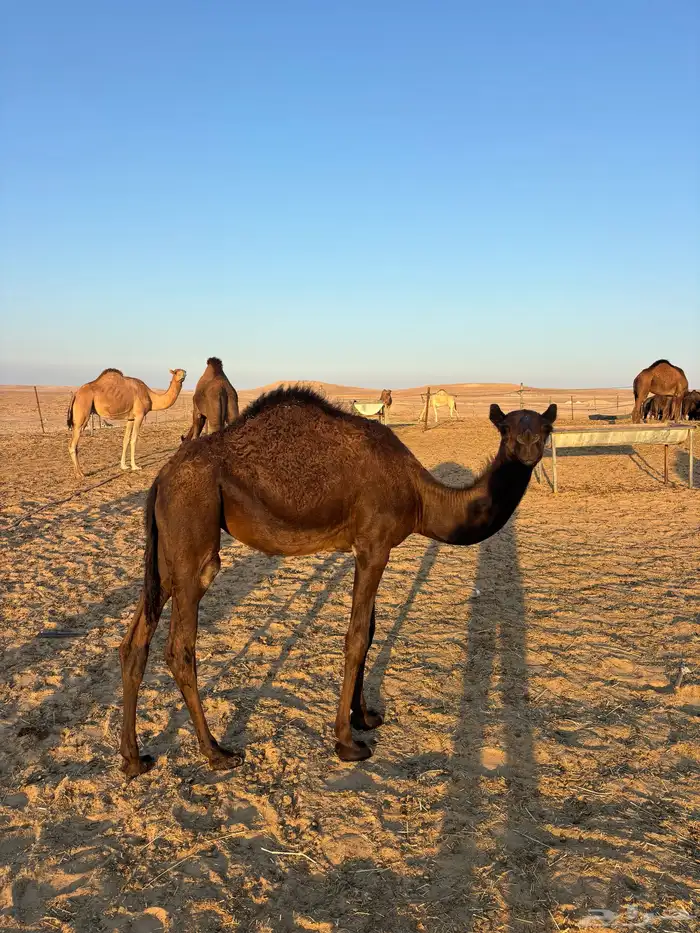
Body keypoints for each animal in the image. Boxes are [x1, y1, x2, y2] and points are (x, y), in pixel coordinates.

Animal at [119, 386, 556, 777]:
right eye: (506, 428)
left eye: (544, 428)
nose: (528, 447)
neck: (419, 495)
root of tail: (162, 476)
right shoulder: (374, 544)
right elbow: (357, 636)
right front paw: (347, 742)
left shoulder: (372, 549)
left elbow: (372, 631)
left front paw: (365, 716)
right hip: (194, 531)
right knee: (180, 647)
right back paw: (217, 753)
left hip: (166, 550)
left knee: (134, 640)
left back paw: (133, 759)